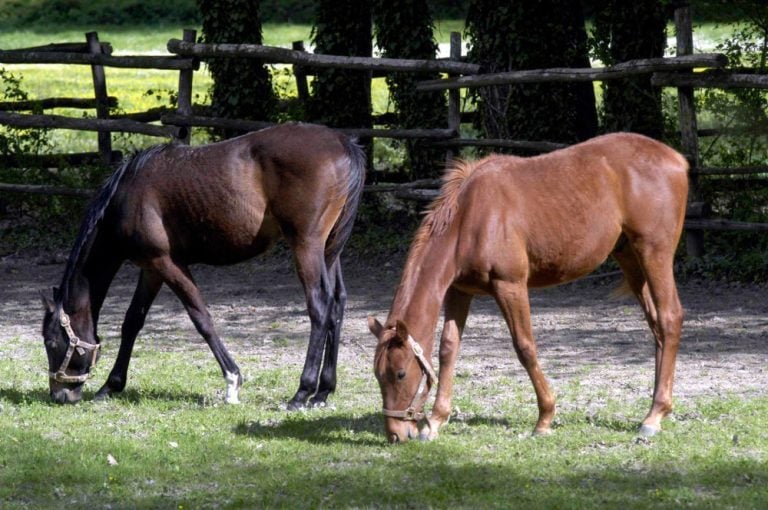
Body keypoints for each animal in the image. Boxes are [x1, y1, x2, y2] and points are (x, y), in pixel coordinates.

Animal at [39, 121, 366, 408]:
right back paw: (323, 391)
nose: (60, 395)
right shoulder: (151, 269)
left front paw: (232, 382)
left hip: (306, 245)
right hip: (328, 251)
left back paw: (302, 392)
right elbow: (132, 321)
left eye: (51, 343)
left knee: (319, 306)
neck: (127, 195)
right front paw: (111, 385)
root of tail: (342, 142)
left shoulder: (167, 263)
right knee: (337, 304)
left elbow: (201, 317)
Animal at [368, 131, 688, 442]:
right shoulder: (460, 291)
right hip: (630, 259)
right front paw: (435, 421)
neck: (471, 218)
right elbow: (448, 348)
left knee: (669, 318)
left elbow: (525, 347)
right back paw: (659, 408)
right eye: (377, 374)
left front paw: (544, 418)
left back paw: (653, 417)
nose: (396, 435)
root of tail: (677, 159)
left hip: (654, 253)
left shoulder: (510, 286)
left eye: (400, 374)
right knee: (657, 326)